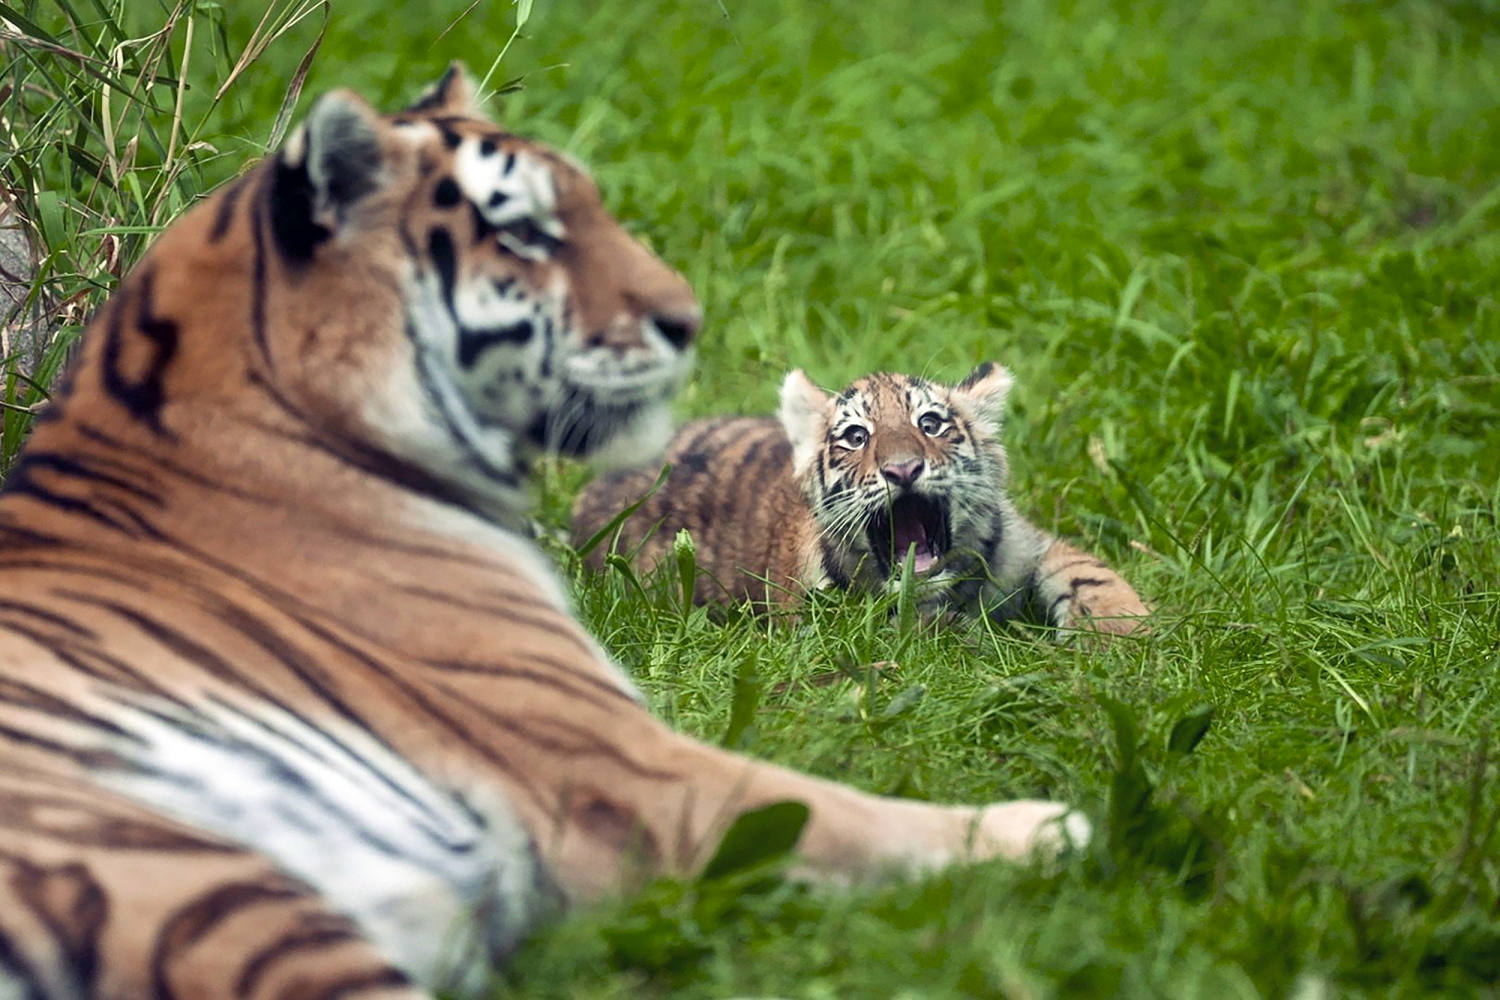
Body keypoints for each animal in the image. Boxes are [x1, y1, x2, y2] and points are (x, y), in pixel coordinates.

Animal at [0, 66, 1086, 995]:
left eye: (934, 427)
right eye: (525, 232)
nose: (690, 320)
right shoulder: (614, 756)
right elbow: (844, 807)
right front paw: (1049, 828)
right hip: (221, 904)